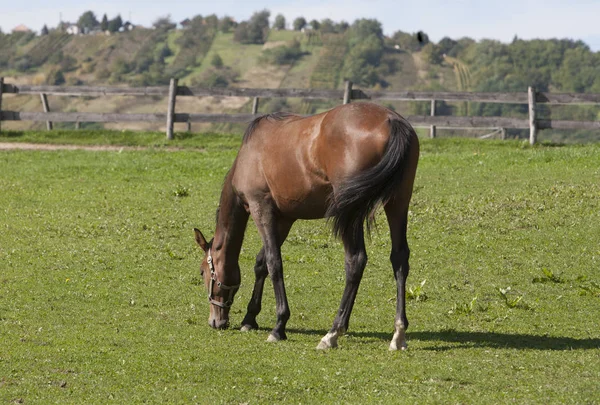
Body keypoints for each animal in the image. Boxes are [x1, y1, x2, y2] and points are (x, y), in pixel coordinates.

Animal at [195, 101, 420, 348]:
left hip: (350, 211)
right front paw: (250, 318)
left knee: (355, 260)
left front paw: (279, 325)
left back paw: (332, 333)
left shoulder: (260, 208)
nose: (216, 321)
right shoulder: (284, 218)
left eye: (203, 271)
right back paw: (398, 333)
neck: (249, 154)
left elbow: (274, 263)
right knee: (399, 258)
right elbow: (261, 263)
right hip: (398, 201)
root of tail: (391, 120)